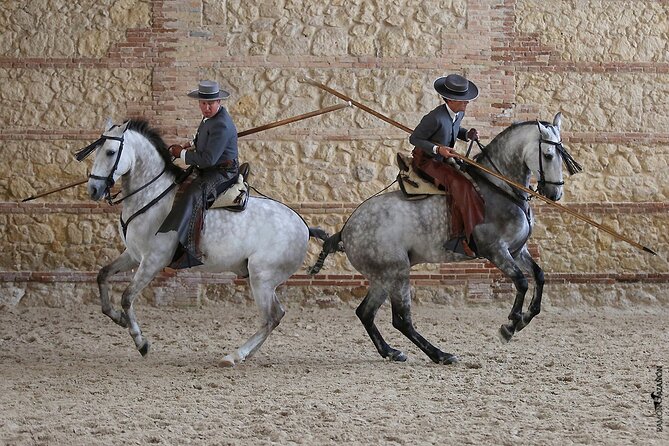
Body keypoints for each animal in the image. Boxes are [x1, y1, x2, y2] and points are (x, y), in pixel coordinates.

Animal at [85, 118, 324, 366]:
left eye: (111, 152)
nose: (93, 189)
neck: (152, 196)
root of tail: (304, 228)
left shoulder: (153, 261)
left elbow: (127, 297)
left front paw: (141, 342)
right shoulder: (133, 255)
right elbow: (102, 275)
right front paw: (118, 318)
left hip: (262, 278)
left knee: (271, 317)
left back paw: (234, 355)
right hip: (265, 280)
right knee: (276, 316)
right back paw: (245, 354)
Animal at [310, 113, 576, 364]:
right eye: (549, 155)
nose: (555, 193)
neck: (499, 189)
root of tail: (347, 229)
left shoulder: (517, 250)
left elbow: (539, 276)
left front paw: (526, 316)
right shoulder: (496, 250)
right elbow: (521, 281)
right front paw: (510, 325)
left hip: (382, 278)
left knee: (366, 313)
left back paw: (391, 352)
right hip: (396, 273)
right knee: (401, 320)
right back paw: (440, 355)